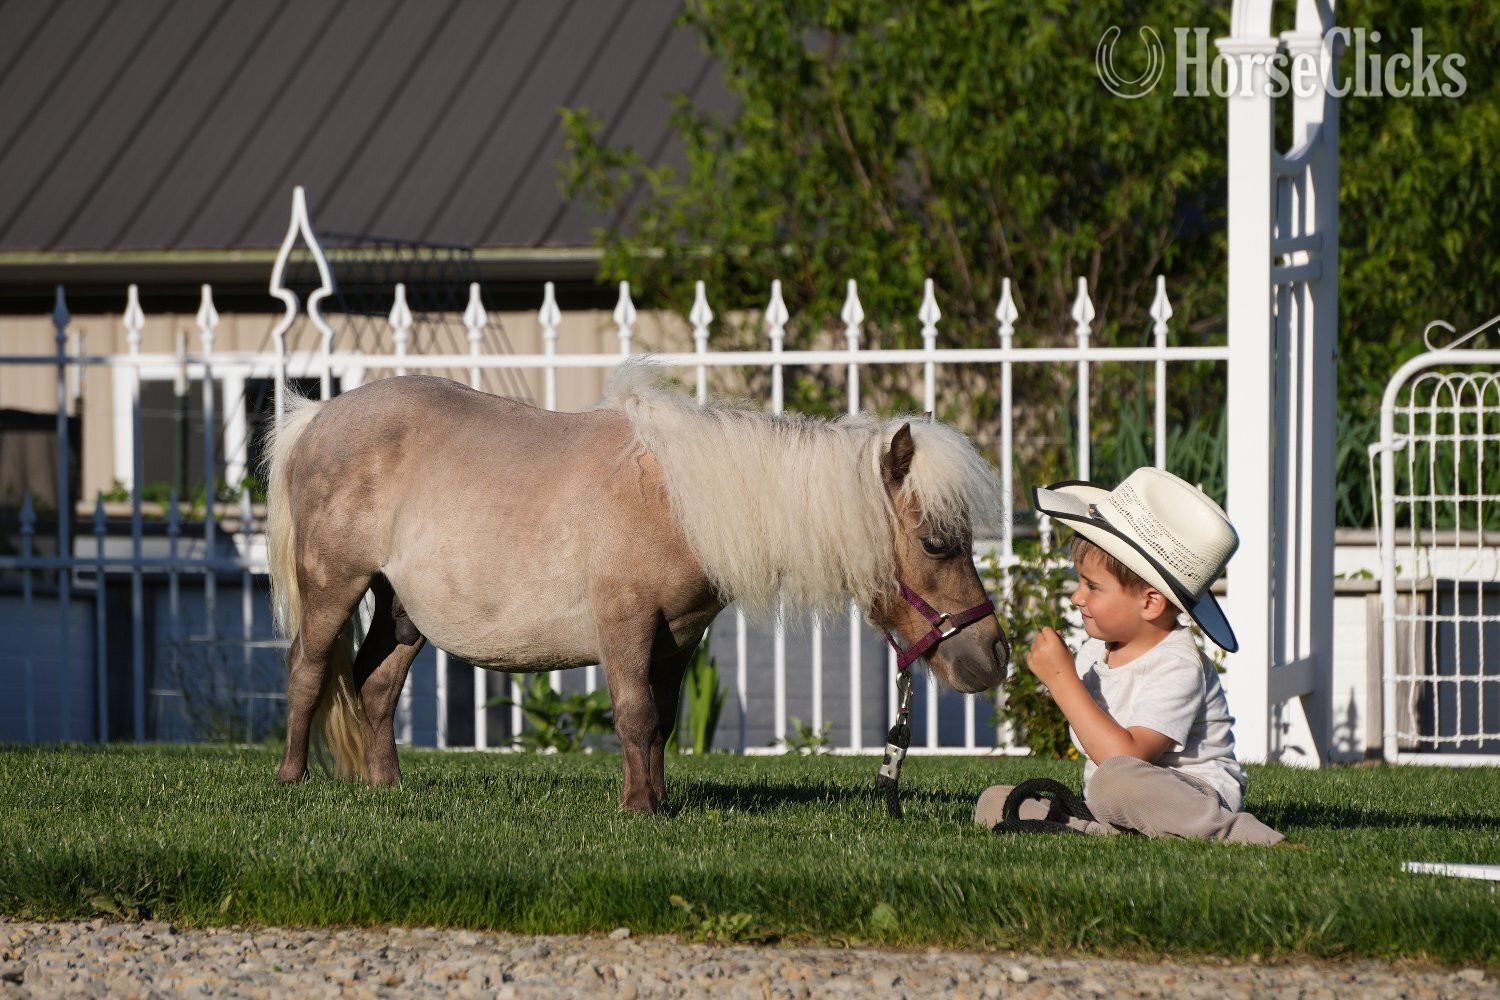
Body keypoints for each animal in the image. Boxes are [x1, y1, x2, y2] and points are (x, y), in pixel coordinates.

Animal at [264, 360, 1011, 812]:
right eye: (936, 543)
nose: (994, 655)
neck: (680, 505)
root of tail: (318, 418)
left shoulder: (679, 636)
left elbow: (663, 721)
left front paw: (657, 801)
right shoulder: (625, 623)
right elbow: (634, 714)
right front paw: (637, 808)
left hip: (403, 611)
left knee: (375, 686)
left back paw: (388, 790)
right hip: (334, 587)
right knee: (307, 672)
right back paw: (291, 781)